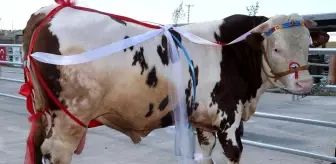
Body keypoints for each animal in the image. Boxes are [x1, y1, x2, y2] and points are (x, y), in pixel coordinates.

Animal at [21, 1, 328, 164]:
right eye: (276, 48)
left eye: (308, 45)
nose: (305, 83)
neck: (233, 50)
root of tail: (52, 11)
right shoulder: (229, 119)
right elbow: (233, 154)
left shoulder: (205, 120)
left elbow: (206, 153)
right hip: (70, 117)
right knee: (56, 152)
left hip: (46, 112)